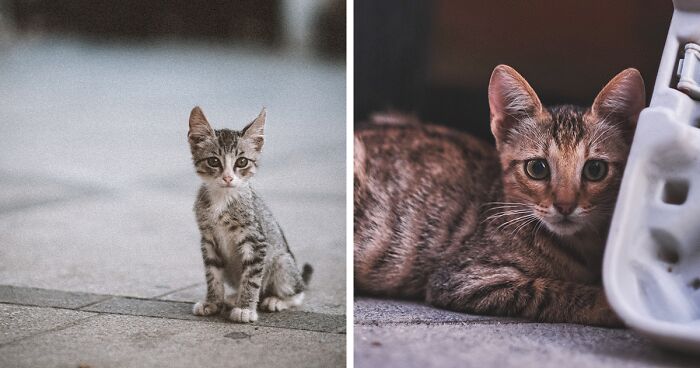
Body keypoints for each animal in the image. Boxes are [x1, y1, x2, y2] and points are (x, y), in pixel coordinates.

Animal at [189, 105, 314, 322]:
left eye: (242, 162)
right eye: (213, 161)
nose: (228, 178)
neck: (223, 198)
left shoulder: (255, 240)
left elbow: (251, 278)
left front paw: (246, 308)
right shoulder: (208, 240)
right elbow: (212, 274)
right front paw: (212, 302)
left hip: (281, 262)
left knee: (297, 292)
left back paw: (275, 300)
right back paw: (232, 297)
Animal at [356, 64, 644, 326]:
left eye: (595, 169)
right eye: (537, 168)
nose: (565, 205)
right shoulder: (461, 278)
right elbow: (550, 290)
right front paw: (610, 305)